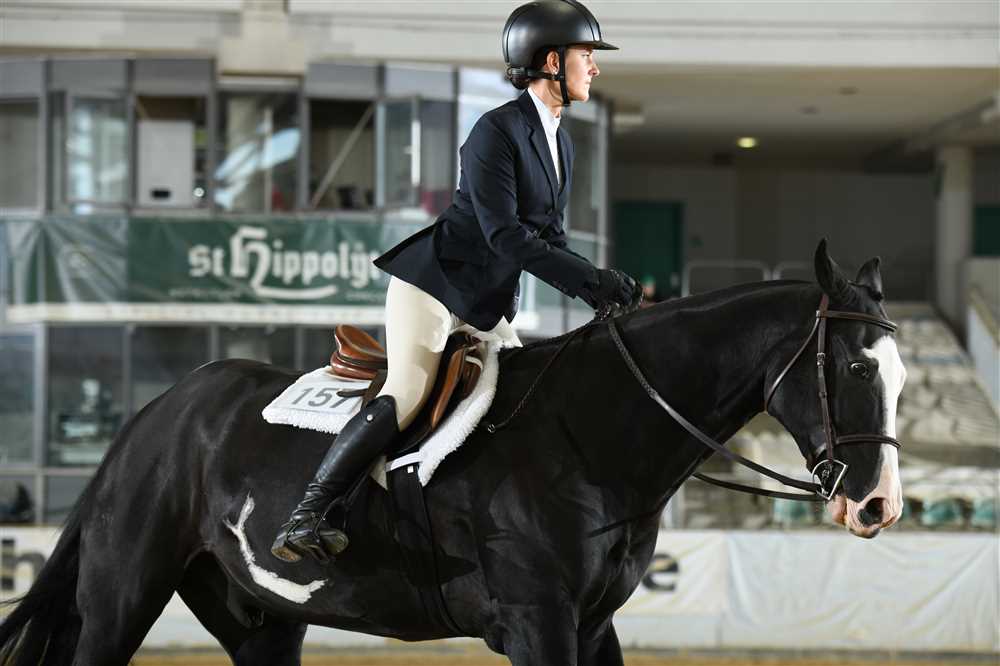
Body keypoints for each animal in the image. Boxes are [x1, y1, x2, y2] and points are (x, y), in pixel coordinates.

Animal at [0, 240, 905, 666]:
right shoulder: (539, 622)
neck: (599, 432)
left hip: (259, 619)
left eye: (901, 374)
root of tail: (155, 416)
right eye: (857, 368)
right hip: (124, 595)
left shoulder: (592, 625)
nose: (878, 506)